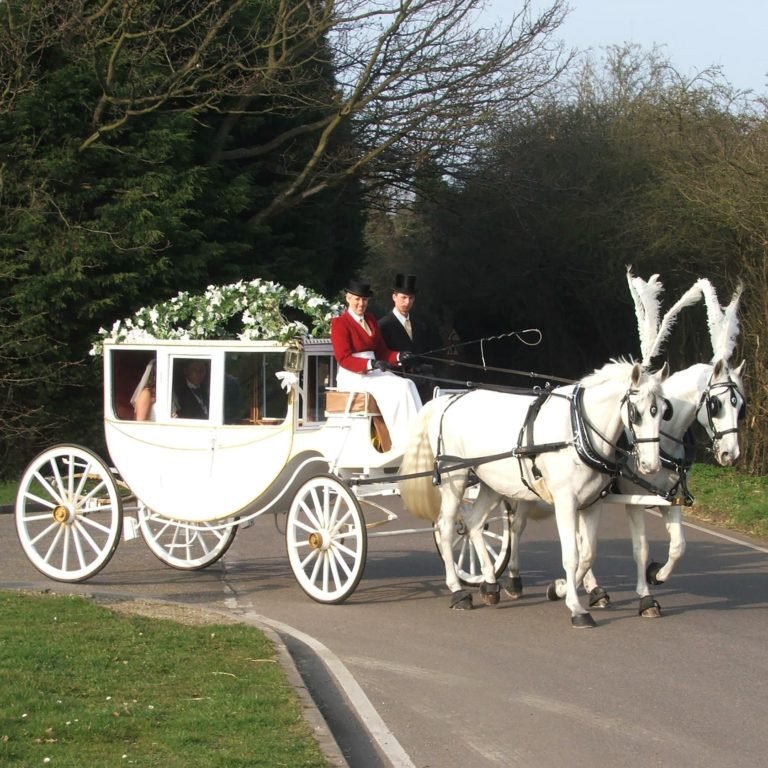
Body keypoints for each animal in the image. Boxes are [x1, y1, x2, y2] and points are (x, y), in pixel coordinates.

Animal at [396, 360, 664, 632]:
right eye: (636, 413)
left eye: (663, 411)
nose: (651, 466)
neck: (576, 431)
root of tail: (449, 401)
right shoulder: (565, 502)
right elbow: (572, 556)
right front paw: (576, 608)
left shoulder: (592, 504)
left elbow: (588, 555)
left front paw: (560, 588)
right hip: (456, 478)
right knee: (446, 527)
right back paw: (457, 591)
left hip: (491, 483)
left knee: (473, 523)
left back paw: (490, 584)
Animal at [508, 356, 748, 616]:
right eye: (716, 404)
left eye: (741, 407)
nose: (731, 454)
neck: (663, 443)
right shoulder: (635, 501)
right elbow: (640, 549)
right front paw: (646, 598)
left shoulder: (670, 500)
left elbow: (678, 546)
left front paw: (656, 574)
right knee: (517, 527)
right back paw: (515, 579)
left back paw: (594, 590)